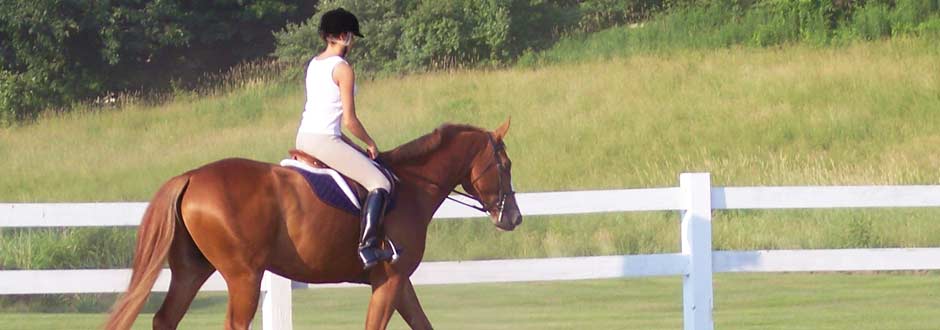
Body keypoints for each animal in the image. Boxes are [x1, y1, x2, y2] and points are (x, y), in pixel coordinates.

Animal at [108, 119, 520, 330]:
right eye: (506, 164)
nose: (513, 217)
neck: (412, 186)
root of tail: (191, 176)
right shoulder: (390, 279)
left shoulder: (397, 281)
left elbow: (422, 323)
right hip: (244, 277)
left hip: (192, 270)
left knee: (164, 319)